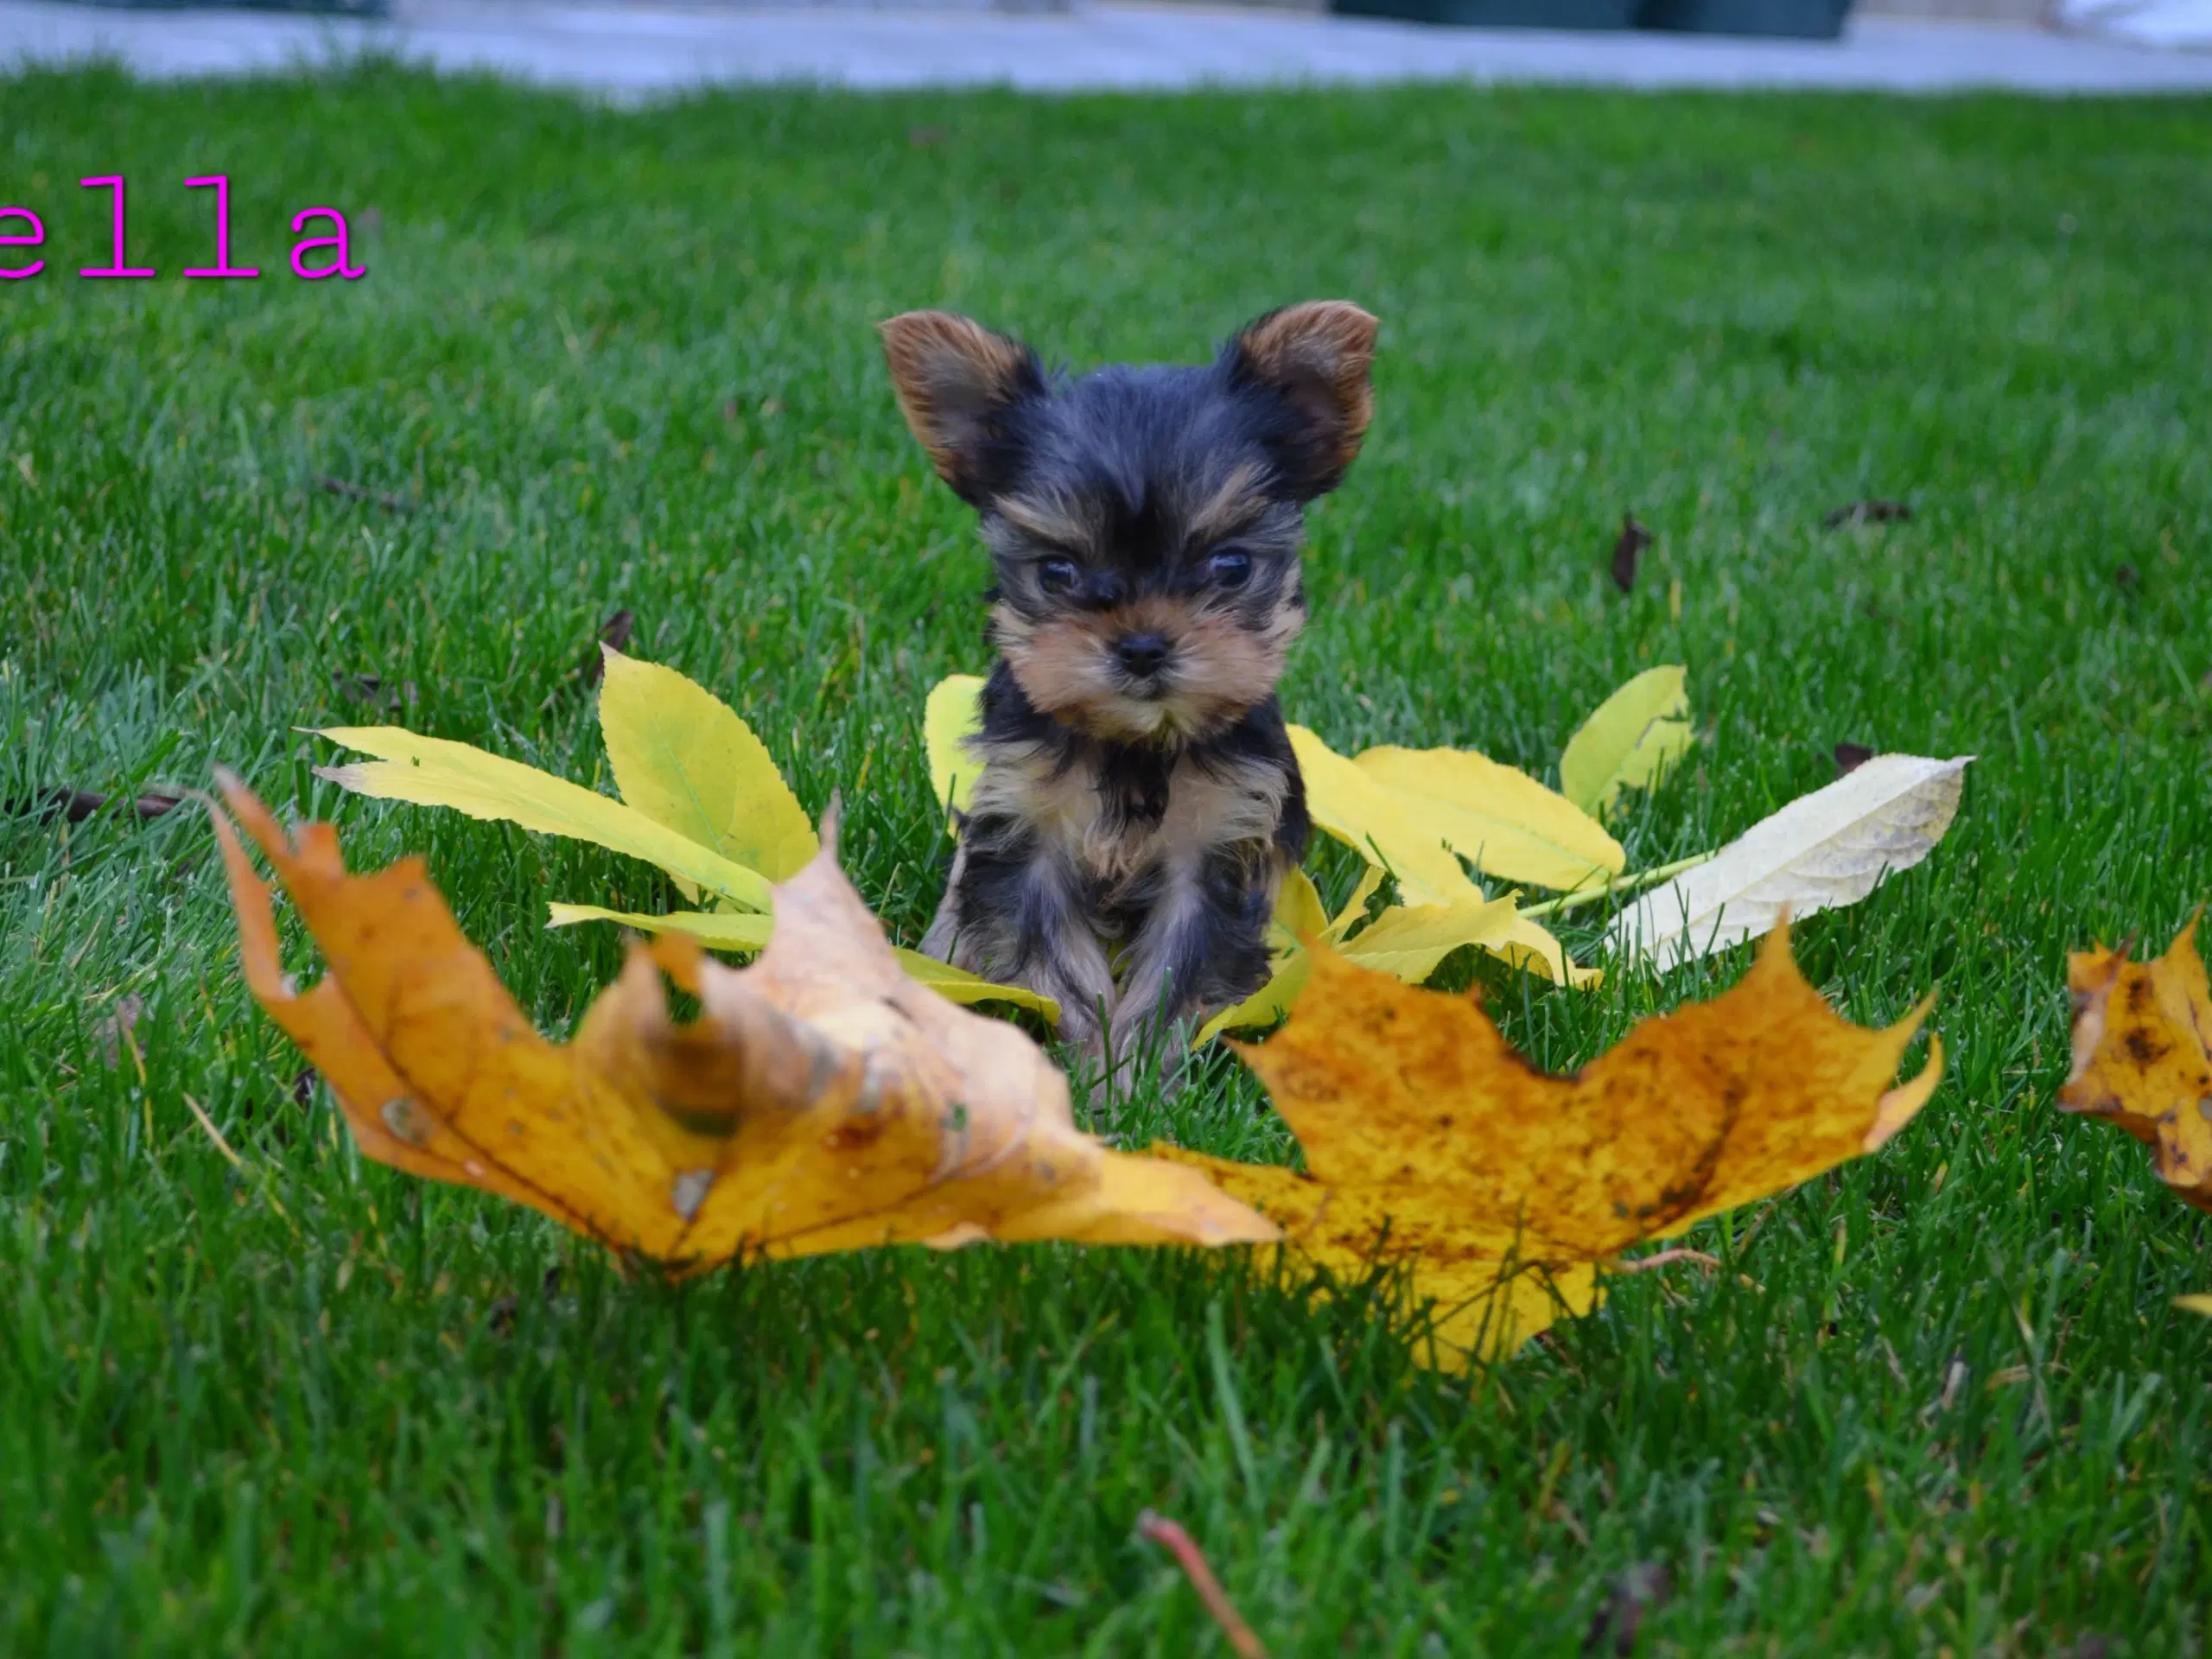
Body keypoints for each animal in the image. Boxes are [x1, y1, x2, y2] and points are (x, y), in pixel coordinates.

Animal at [875, 301, 1362, 1065]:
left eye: (1230, 567)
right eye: (1057, 573)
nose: (1141, 646)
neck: (1135, 743)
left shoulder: (1215, 850)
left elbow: (1173, 977)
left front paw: (1135, 1076)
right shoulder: (1028, 834)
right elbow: (1061, 970)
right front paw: (1094, 1069)